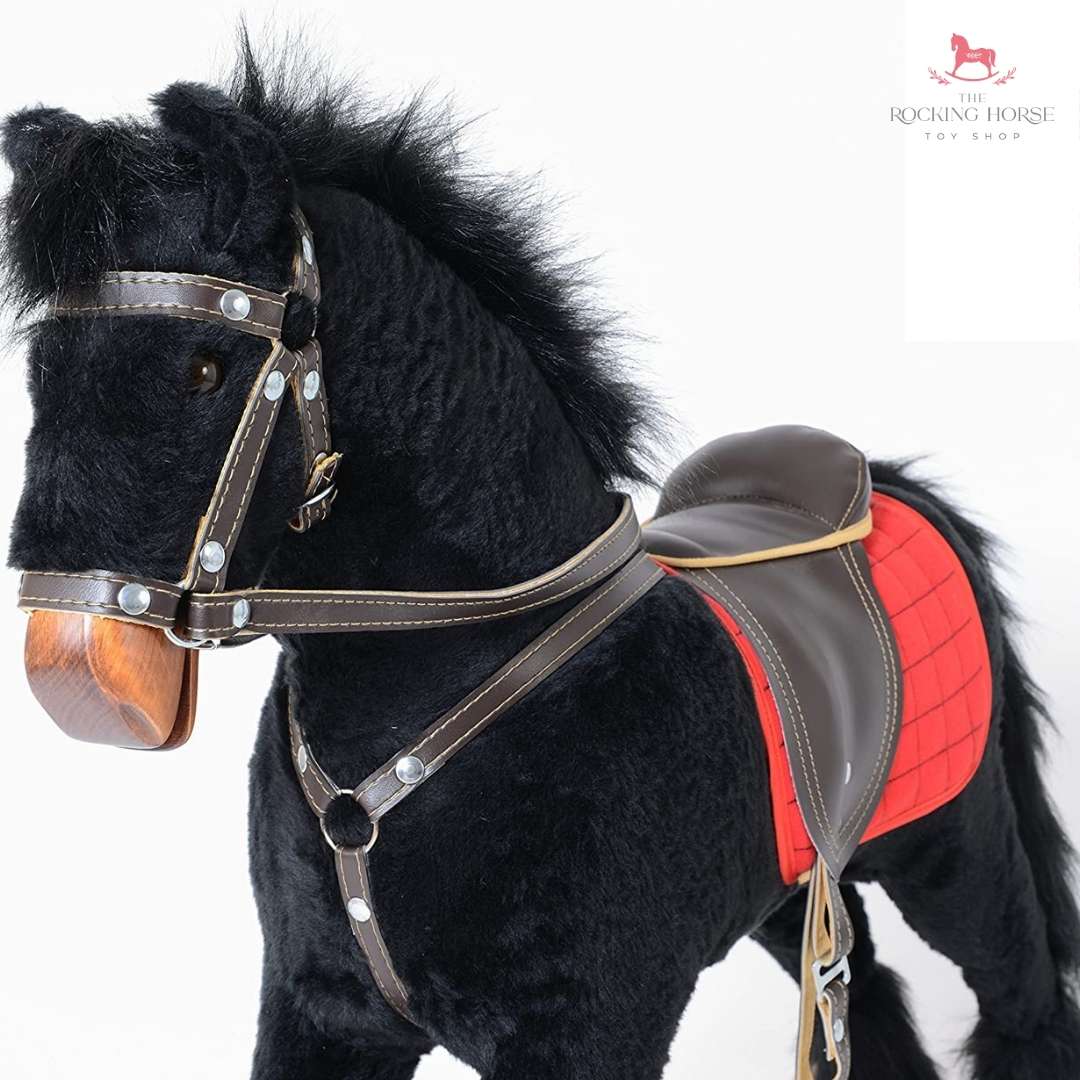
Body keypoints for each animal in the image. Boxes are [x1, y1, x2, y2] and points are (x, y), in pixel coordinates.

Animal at [4, 42, 1079, 1080]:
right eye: (41, 366)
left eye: (204, 367)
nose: (75, 674)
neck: (447, 673)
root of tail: (887, 483)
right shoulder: (321, 1008)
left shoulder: (585, 1030)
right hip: (796, 894)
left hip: (956, 851)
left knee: (1026, 1007)